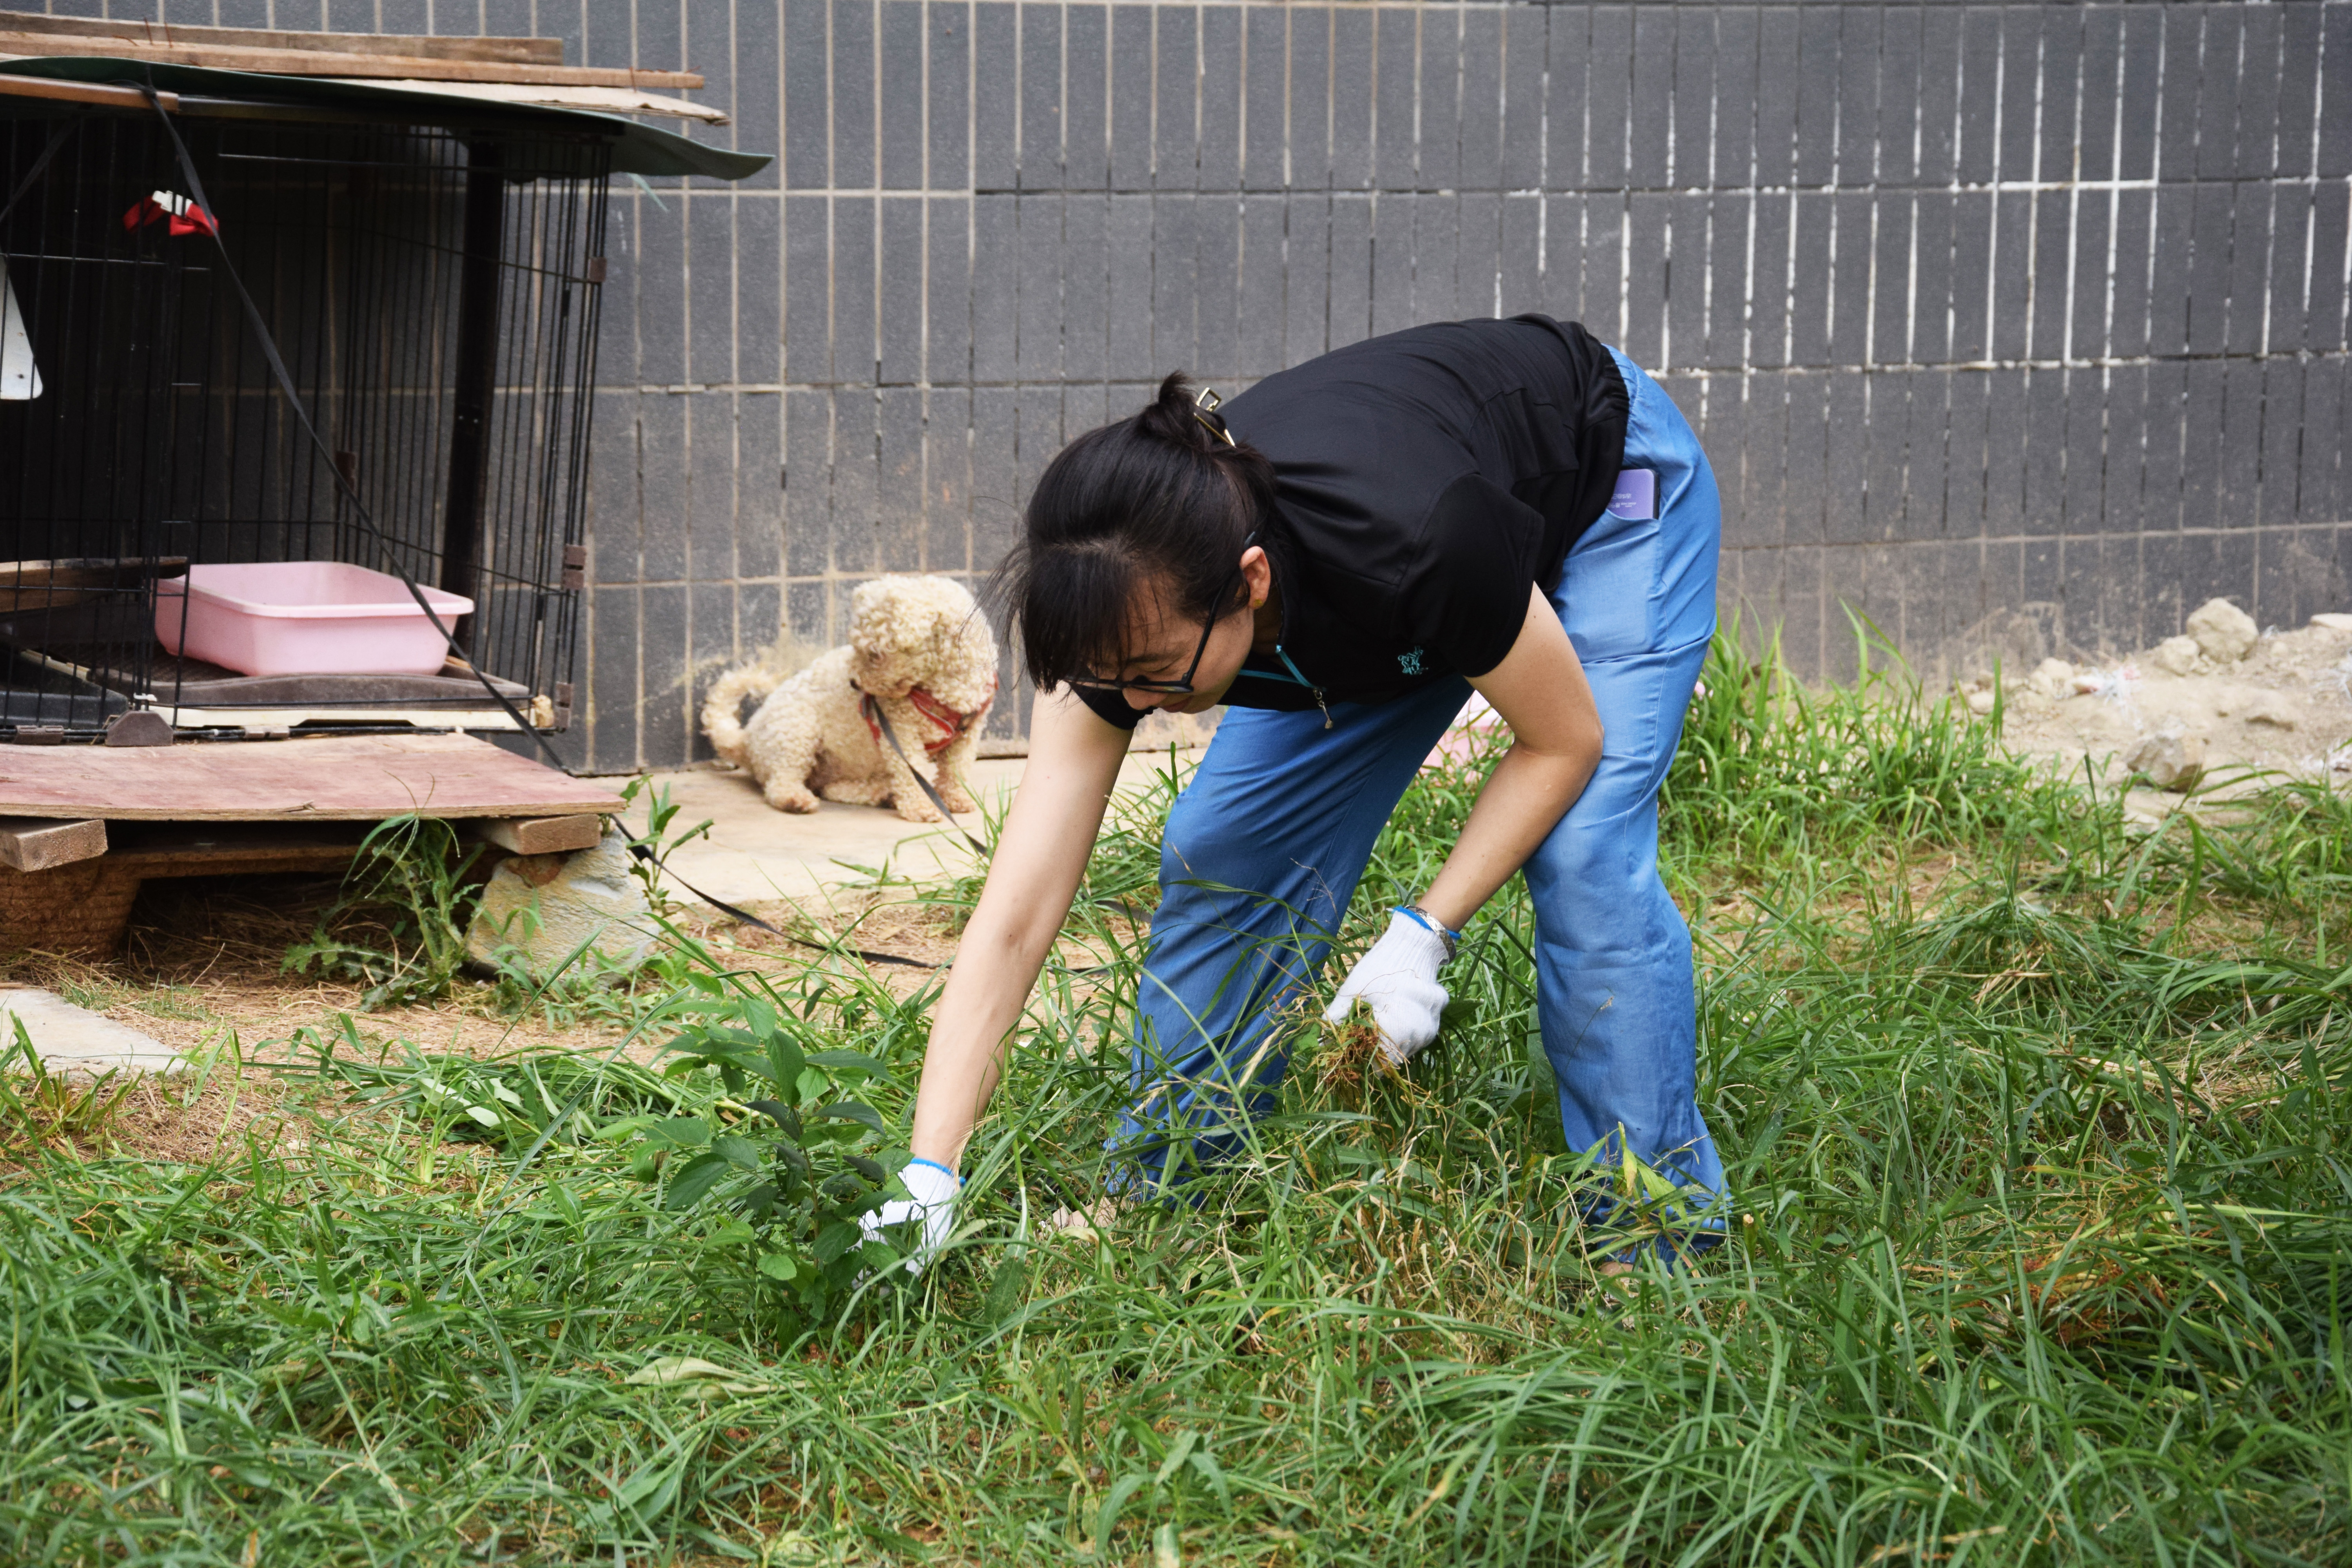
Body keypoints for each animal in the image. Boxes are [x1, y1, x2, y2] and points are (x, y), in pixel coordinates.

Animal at [696, 573, 993, 822]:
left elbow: (957, 770)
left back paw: (881, 794)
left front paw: (956, 800)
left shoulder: (969, 734)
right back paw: (796, 800)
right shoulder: (900, 731)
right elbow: (912, 771)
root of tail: (746, 740)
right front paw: (922, 808)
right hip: (796, 731)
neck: (940, 686)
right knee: (782, 782)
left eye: (875, 654)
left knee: (833, 788)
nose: (854, 683)